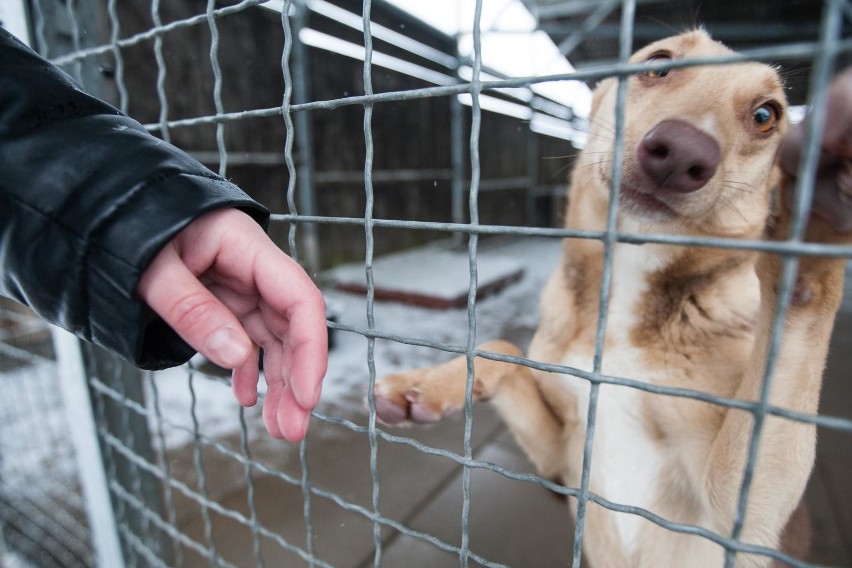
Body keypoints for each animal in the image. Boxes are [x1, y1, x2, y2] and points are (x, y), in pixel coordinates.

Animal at [374, 32, 852, 568]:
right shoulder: (559, 463)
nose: (680, 153)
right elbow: (503, 348)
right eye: (659, 64)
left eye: (766, 115)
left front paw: (816, 218)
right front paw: (426, 383)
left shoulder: (738, 513)